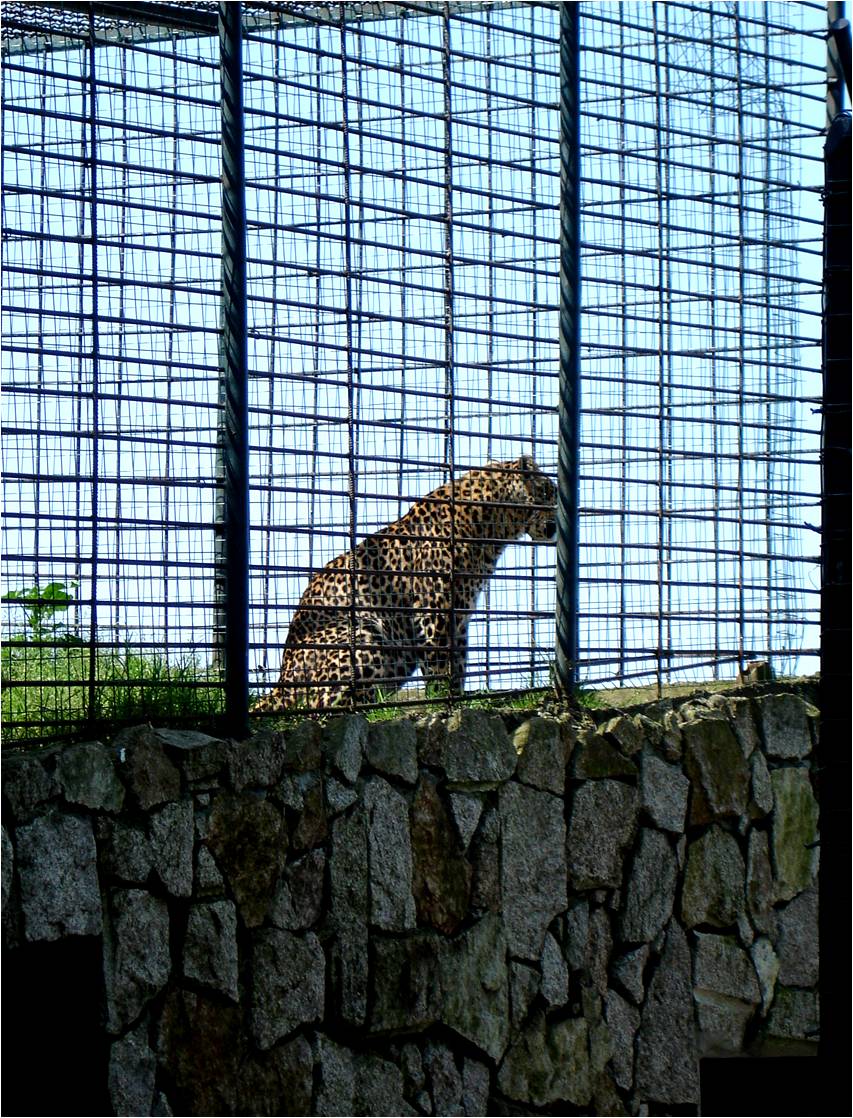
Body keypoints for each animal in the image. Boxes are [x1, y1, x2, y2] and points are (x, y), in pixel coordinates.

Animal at [253, 455, 557, 711]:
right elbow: (440, 664)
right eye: (547, 492)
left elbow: (457, 663)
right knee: (321, 705)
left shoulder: (458, 617)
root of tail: (280, 683)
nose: (555, 526)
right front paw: (440, 700)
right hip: (367, 632)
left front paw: (457, 698)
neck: (493, 524)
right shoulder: (435, 613)